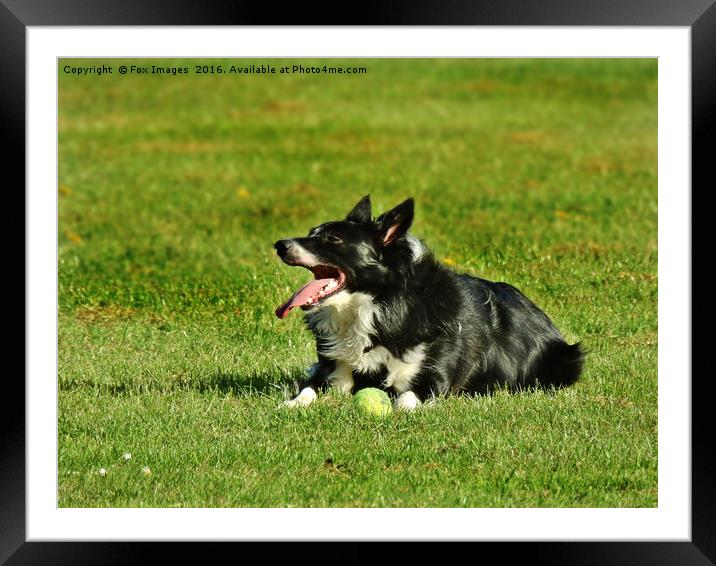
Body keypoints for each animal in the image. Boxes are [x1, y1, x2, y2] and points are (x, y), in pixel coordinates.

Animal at [272, 197, 580, 410]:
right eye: (311, 232)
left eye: (333, 238)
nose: (279, 245)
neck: (382, 305)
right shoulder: (334, 373)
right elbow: (309, 389)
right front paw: (292, 403)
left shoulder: (434, 380)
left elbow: (404, 400)